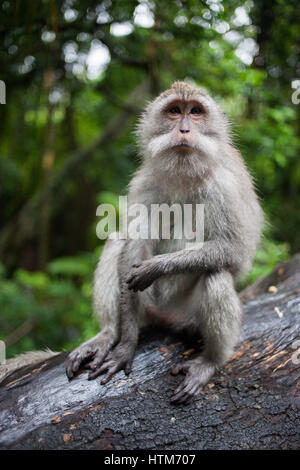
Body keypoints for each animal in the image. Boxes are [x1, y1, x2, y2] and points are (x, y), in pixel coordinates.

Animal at [65, 81, 262, 404]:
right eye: (174, 111)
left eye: (195, 112)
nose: (184, 129)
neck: (185, 170)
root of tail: (166, 317)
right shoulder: (145, 181)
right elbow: (131, 242)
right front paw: (126, 344)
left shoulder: (224, 186)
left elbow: (235, 251)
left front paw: (155, 267)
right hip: (150, 305)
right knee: (120, 239)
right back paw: (109, 332)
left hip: (187, 316)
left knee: (217, 276)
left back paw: (211, 361)